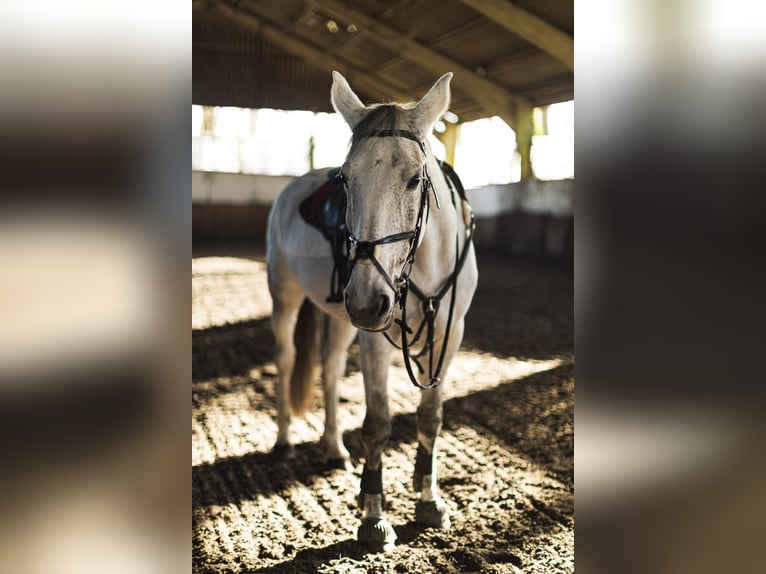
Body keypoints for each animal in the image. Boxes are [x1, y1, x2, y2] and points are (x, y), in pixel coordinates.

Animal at [268, 72, 476, 552]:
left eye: (416, 179)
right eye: (345, 179)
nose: (365, 300)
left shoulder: (449, 334)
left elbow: (430, 416)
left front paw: (429, 500)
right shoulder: (375, 337)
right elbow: (379, 422)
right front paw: (374, 518)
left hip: (343, 318)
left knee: (327, 366)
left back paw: (333, 447)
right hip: (286, 297)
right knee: (286, 360)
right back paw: (284, 442)